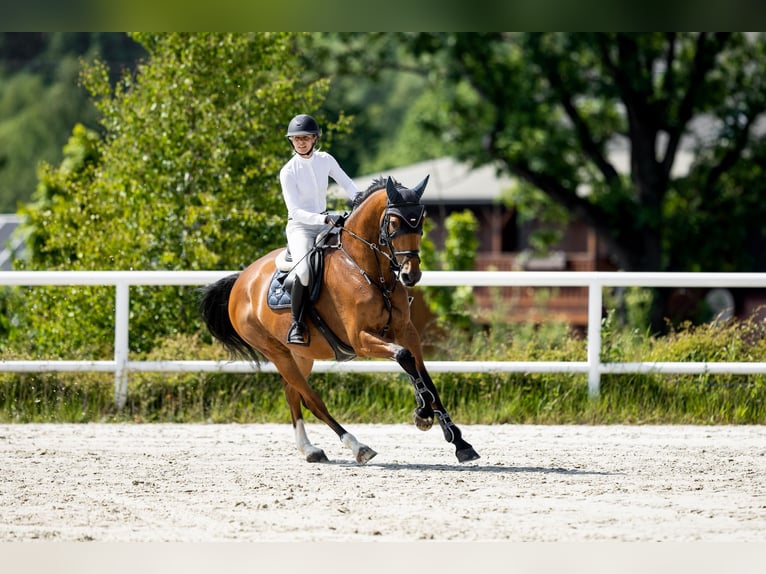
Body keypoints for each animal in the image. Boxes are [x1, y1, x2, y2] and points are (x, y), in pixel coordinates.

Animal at [200, 175, 479, 464]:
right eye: (393, 223)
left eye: (420, 221)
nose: (410, 275)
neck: (368, 270)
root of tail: (241, 280)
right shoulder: (361, 340)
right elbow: (404, 357)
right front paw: (423, 415)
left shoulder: (406, 332)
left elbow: (423, 375)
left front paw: (458, 441)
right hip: (276, 352)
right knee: (311, 399)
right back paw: (357, 446)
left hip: (301, 354)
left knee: (292, 392)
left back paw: (309, 449)